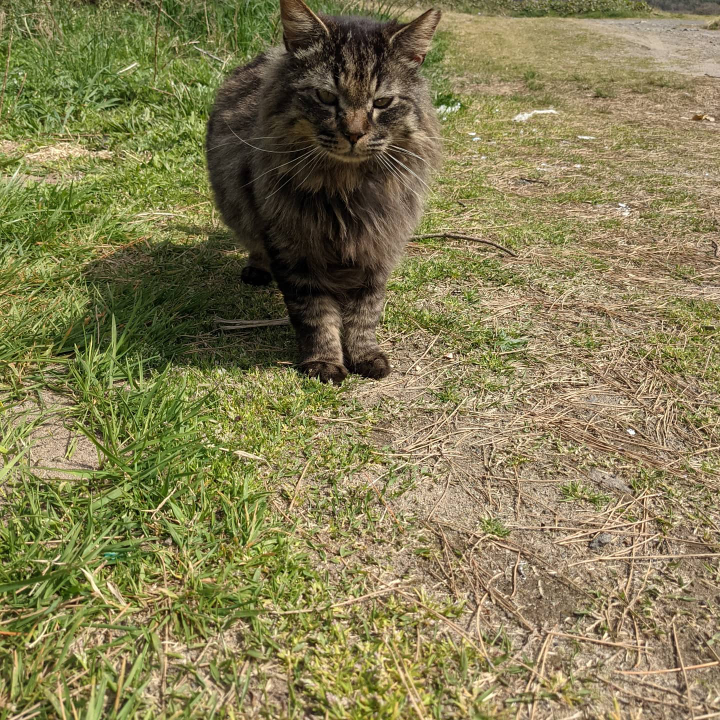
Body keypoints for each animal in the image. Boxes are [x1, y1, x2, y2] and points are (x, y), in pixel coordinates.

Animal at [205, 0, 442, 382]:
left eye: (383, 102)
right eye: (326, 96)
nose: (354, 133)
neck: (346, 189)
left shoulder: (378, 247)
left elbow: (365, 313)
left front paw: (365, 356)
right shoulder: (295, 251)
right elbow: (315, 315)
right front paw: (324, 363)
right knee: (253, 243)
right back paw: (256, 270)